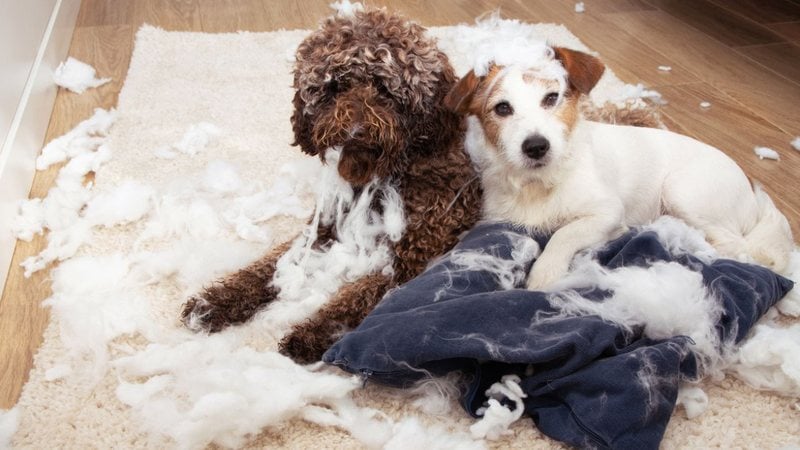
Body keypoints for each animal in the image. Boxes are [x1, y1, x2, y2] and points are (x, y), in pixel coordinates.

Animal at [444, 45, 792, 290]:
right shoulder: (497, 219)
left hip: (682, 192)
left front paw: (545, 272)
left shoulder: (607, 213)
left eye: (552, 98)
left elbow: (565, 233)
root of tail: (752, 191)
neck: (539, 183)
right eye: (502, 108)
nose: (536, 146)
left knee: (736, 246)